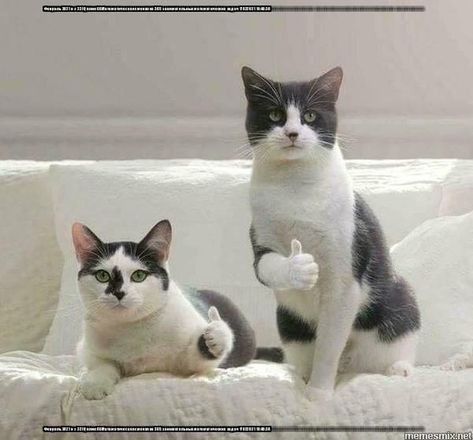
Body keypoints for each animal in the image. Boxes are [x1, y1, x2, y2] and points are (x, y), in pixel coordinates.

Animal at [72, 219, 257, 400]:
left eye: (138, 275)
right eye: (102, 276)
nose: (119, 292)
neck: (132, 328)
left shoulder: (187, 360)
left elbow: (197, 360)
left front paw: (217, 334)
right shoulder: (86, 348)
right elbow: (102, 363)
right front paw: (96, 381)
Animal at [241, 65, 421, 397]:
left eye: (310, 115)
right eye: (274, 114)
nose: (292, 133)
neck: (294, 187)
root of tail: (350, 365)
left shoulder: (344, 273)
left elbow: (328, 345)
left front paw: (320, 393)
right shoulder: (260, 235)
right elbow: (266, 266)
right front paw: (298, 267)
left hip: (400, 299)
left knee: (396, 340)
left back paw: (398, 368)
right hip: (288, 321)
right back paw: (300, 374)